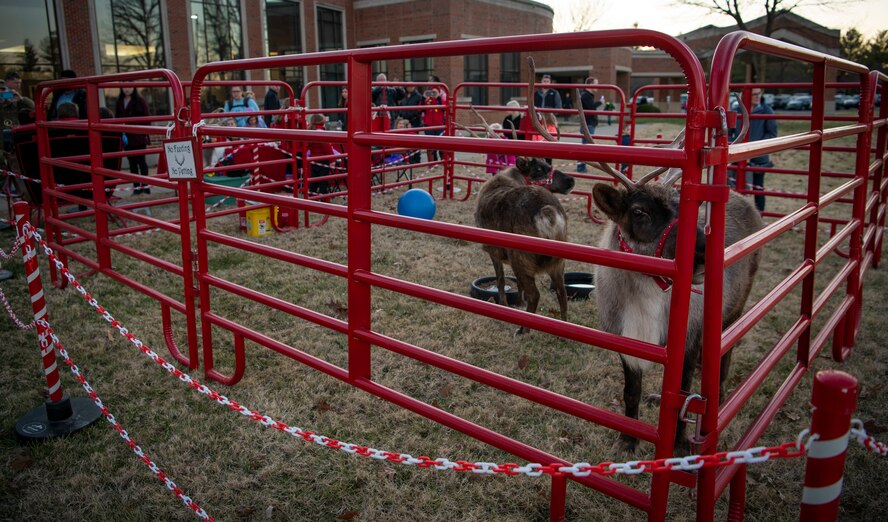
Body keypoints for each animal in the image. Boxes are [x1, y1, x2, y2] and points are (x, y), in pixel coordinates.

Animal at [578, 89, 761, 453]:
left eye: (681, 207)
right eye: (639, 212)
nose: (707, 253)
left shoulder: (688, 338)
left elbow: (683, 394)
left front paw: (678, 444)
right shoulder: (623, 339)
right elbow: (630, 392)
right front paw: (628, 442)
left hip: (735, 310)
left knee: (724, 358)